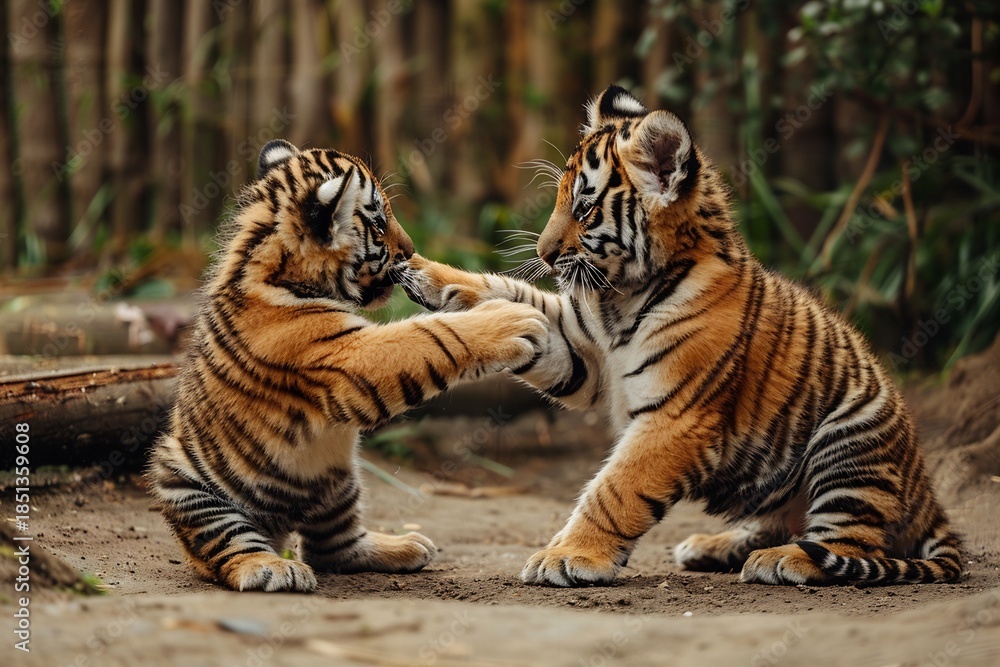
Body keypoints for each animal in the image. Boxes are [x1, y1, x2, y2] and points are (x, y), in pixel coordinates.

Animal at [147, 139, 547, 592]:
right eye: (378, 221)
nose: (411, 250)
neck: (274, 262)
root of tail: (282, 528)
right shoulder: (346, 355)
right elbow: (426, 335)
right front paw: (511, 321)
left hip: (340, 482)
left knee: (334, 549)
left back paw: (402, 546)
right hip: (188, 486)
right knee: (230, 549)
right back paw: (271, 567)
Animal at [397, 85, 963, 587]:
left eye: (583, 208)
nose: (544, 253)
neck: (620, 297)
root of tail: (930, 498)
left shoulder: (677, 417)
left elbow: (614, 491)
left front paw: (567, 557)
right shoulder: (583, 352)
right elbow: (516, 297)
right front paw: (425, 274)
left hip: (850, 441)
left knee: (853, 545)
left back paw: (784, 561)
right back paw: (715, 546)